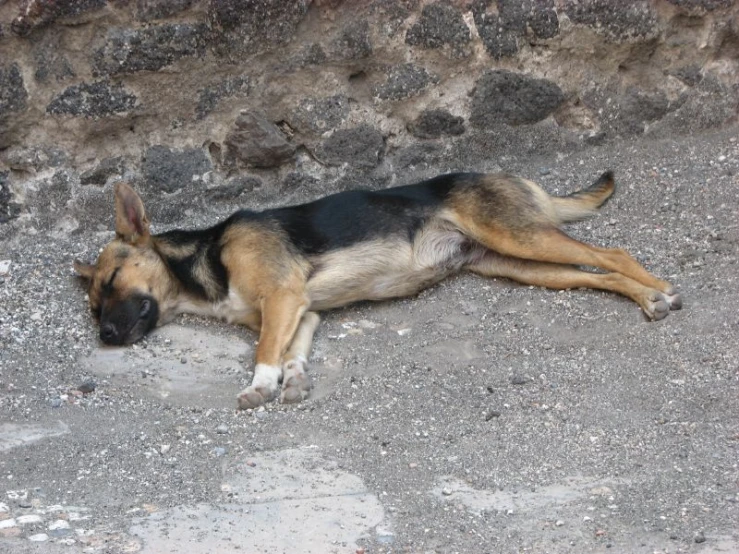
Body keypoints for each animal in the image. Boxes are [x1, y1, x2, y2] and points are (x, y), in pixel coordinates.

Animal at [75, 170, 684, 408]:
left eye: (112, 281)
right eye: (93, 304)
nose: (105, 337)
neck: (206, 260)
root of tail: (507, 175)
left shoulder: (283, 300)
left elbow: (265, 350)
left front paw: (260, 385)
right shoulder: (303, 311)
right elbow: (292, 351)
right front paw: (294, 381)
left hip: (521, 237)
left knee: (614, 255)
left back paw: (662, 289)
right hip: (517, 264)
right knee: (599, 273)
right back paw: (647, 298)